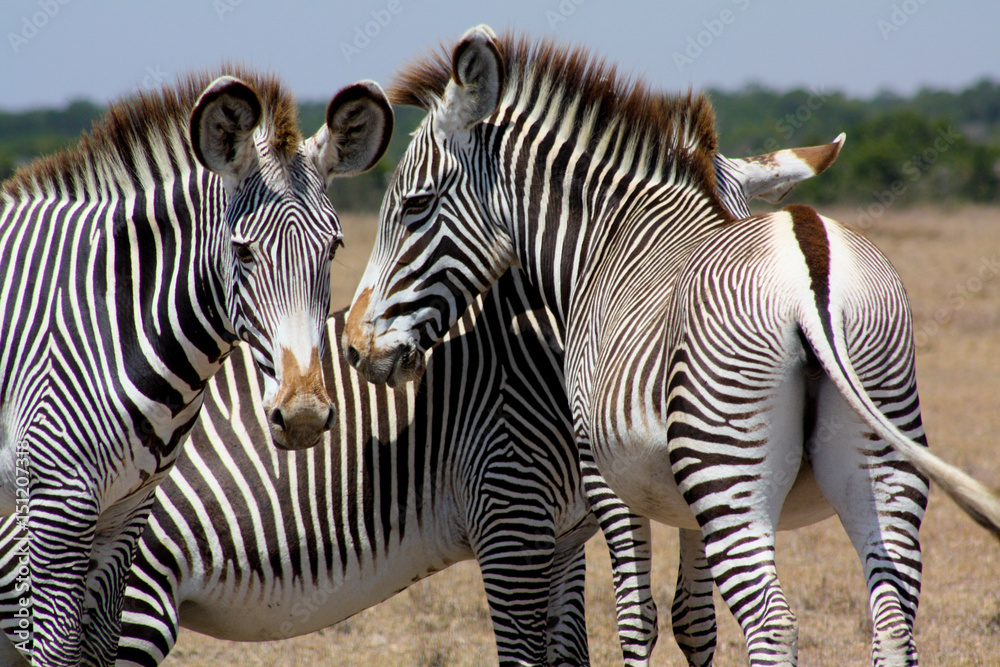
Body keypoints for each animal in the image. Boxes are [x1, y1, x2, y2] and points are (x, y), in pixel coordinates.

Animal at [0, 68, 392, 666]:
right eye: (244, 251)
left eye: (333, 248)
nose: (303, 414)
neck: (115, 314)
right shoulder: (55, 503)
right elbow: (57, 648)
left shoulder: (125, 511)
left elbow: (101, 644)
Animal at [343, 26, 1000, 665]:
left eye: (414, 204)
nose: (353, 345)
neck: (609, 243)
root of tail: (806, 256)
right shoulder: (686, 498)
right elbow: (695, 622)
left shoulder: (606, 476)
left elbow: (636, 620)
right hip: (879, 456)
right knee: (891, 623)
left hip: (732, 472)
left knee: (772, 627)